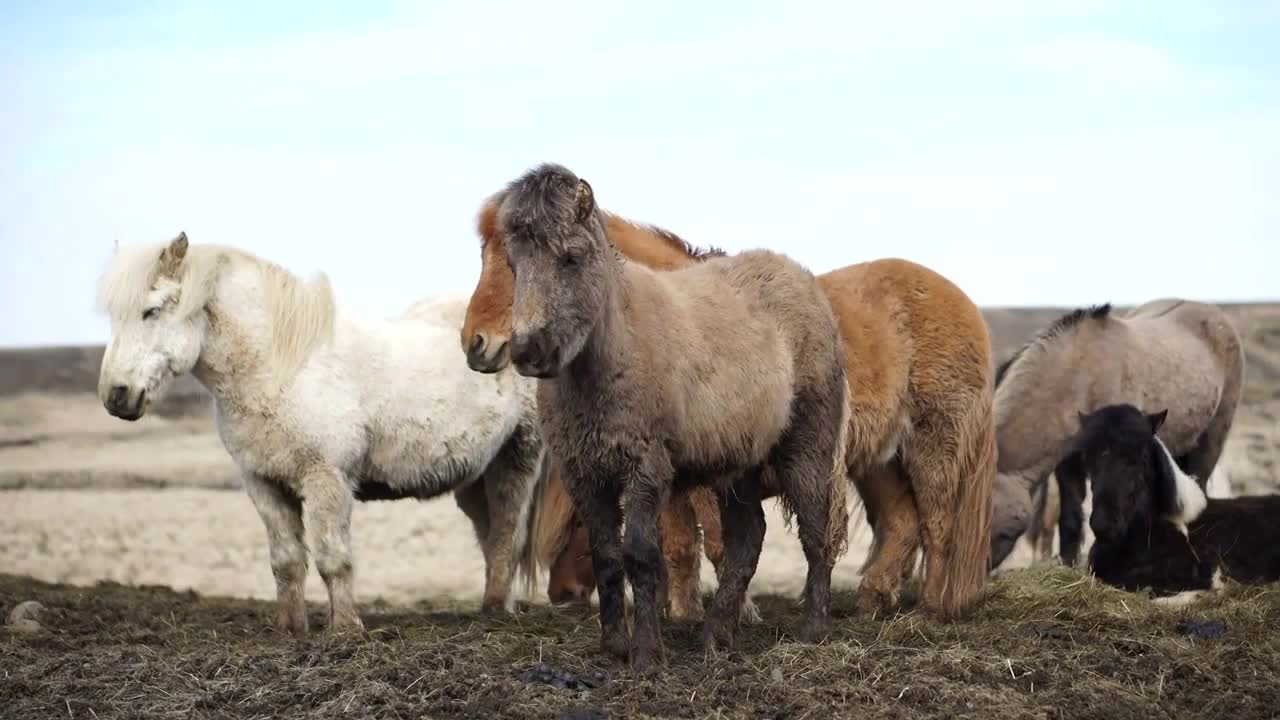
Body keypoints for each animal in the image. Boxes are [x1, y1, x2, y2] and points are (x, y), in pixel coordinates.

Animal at [94, 233, 545, 630]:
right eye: (115, 316)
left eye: (152, 310)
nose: (116, 396)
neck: (280, 367)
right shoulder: (263, 483)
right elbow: (286, 561)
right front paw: (292, 629)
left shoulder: (326, 479)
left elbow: (333, 558)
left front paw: (345, 629)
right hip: (474, 476)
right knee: (490, 534)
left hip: (518, 457)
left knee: (507, 531)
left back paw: (495, 612)